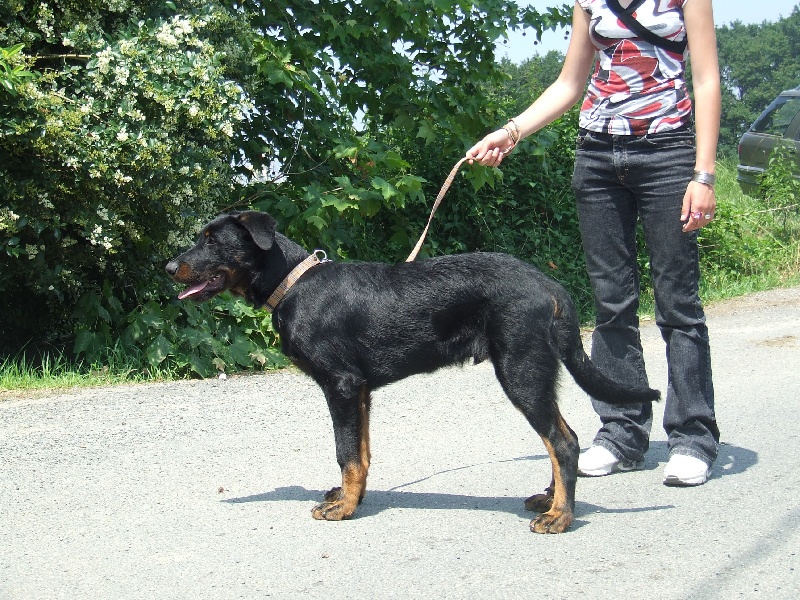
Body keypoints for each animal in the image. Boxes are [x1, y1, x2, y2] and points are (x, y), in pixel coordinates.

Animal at [164, 211, 656, 536]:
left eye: (212, 240)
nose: (168, 267)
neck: (292, 285)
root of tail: (552, 288)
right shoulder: (360, 390)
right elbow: (361, 454)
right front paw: (350, 499)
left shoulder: (341, 386)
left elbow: (346, 452)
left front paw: (343, 509)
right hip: (533, 373)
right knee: (560, 437)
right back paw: (551, 499)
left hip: (521, 370)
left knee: (562, 441)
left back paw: (560, 516)